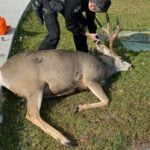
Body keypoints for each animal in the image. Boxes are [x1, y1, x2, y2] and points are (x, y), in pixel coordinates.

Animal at [0, 12, 131, 146]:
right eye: (121, 58)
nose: (131, 66)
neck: (103, 66)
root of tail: (2, 71)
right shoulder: (91, 78)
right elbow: (106, 100)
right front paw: (78, 107)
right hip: (33, 86)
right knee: (32, 114)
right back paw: (66, 140)